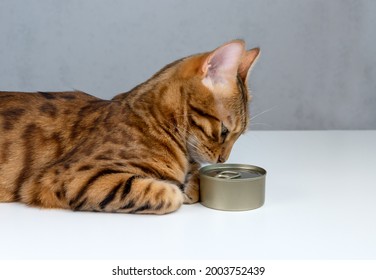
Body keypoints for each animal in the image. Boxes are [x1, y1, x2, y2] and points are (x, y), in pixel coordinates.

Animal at [0, 40, 258, 214]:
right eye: (224, 131)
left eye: (239, 135)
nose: (223, 161)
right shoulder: (67, 176)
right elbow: (167, 193)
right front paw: (178, 188)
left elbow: (194, 181)